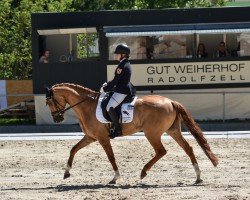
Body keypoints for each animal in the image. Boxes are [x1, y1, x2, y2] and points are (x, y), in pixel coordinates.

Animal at [45, 82, 219, 184]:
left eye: (49, 102)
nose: (57, 119)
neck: (86, 106)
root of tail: (170, 101)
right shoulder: (90, 137)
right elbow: (73, 149)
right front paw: (66, 172)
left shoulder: (102, 138)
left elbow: (111, 157)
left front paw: (115, 177)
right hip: (173, 130)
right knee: (187, 148)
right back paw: (198, 176)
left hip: (152, 133)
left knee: (161, 151)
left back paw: (143, 172)